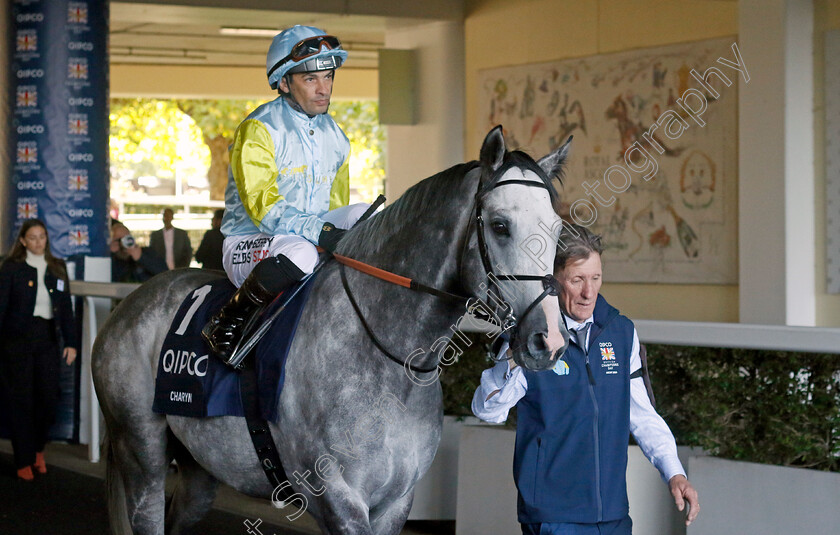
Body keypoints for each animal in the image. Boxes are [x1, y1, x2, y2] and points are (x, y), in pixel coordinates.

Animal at [92, 126, 572, 535]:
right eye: (500, 225)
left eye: (557, 229)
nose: (547, 340)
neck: (386, 359)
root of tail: (129, 304)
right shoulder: (337, 499)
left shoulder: (396, 501)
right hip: (141, 452)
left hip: (198, 470)